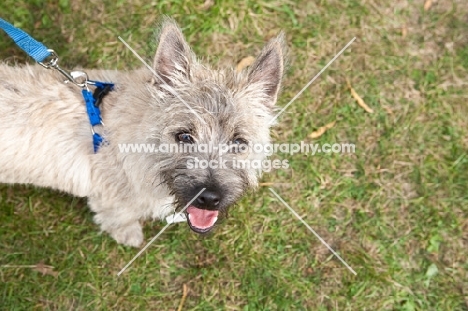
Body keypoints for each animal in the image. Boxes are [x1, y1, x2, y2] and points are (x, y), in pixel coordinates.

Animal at [0, 17, 288, 249]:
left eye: (239, 142)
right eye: (184, 136)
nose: (209, 198)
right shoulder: (110, 199)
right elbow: (119, 218)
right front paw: (128, 236)